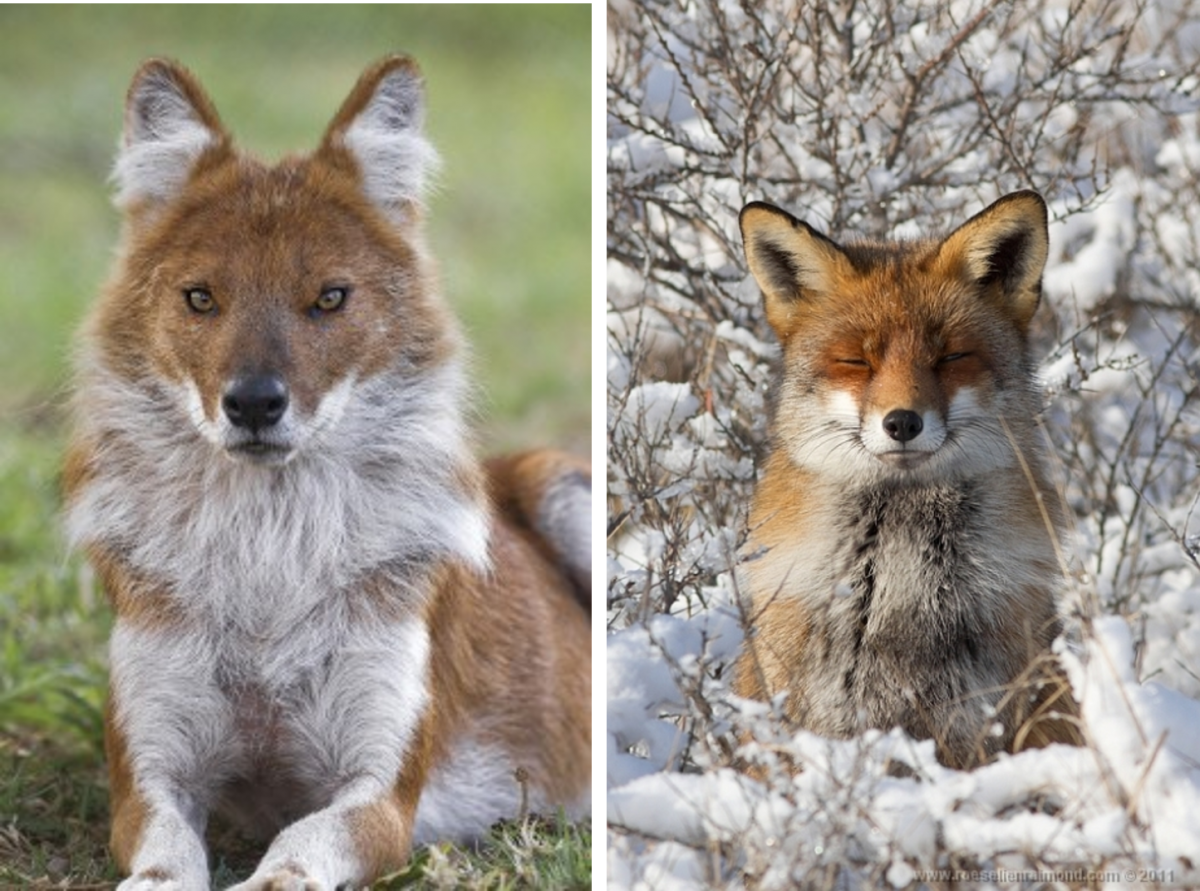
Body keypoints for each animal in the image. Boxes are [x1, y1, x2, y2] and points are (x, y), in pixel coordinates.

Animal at [63, 59, 592, 888]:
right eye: (200, 297)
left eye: (330, 298)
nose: (253, 401)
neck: (270, 560)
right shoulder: (150, 779)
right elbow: (164, 863)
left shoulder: (379, 794)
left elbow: (298, 846)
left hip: (562, 483)